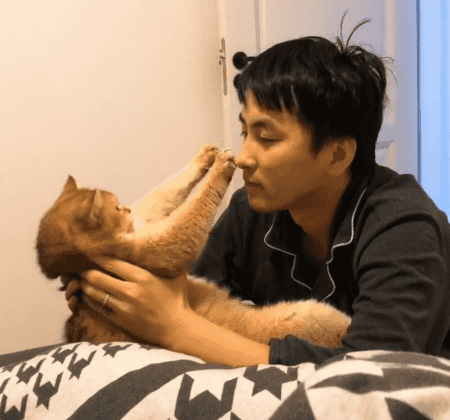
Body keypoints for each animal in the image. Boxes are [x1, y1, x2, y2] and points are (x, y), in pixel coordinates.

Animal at [36, 144, 351, 349]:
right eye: (115, 207)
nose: (125, 208)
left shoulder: (147, 219)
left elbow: (168, 190)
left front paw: (206, 156)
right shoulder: (166, 244)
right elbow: (195, 206)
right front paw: (221, 167)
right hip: (305, 316)